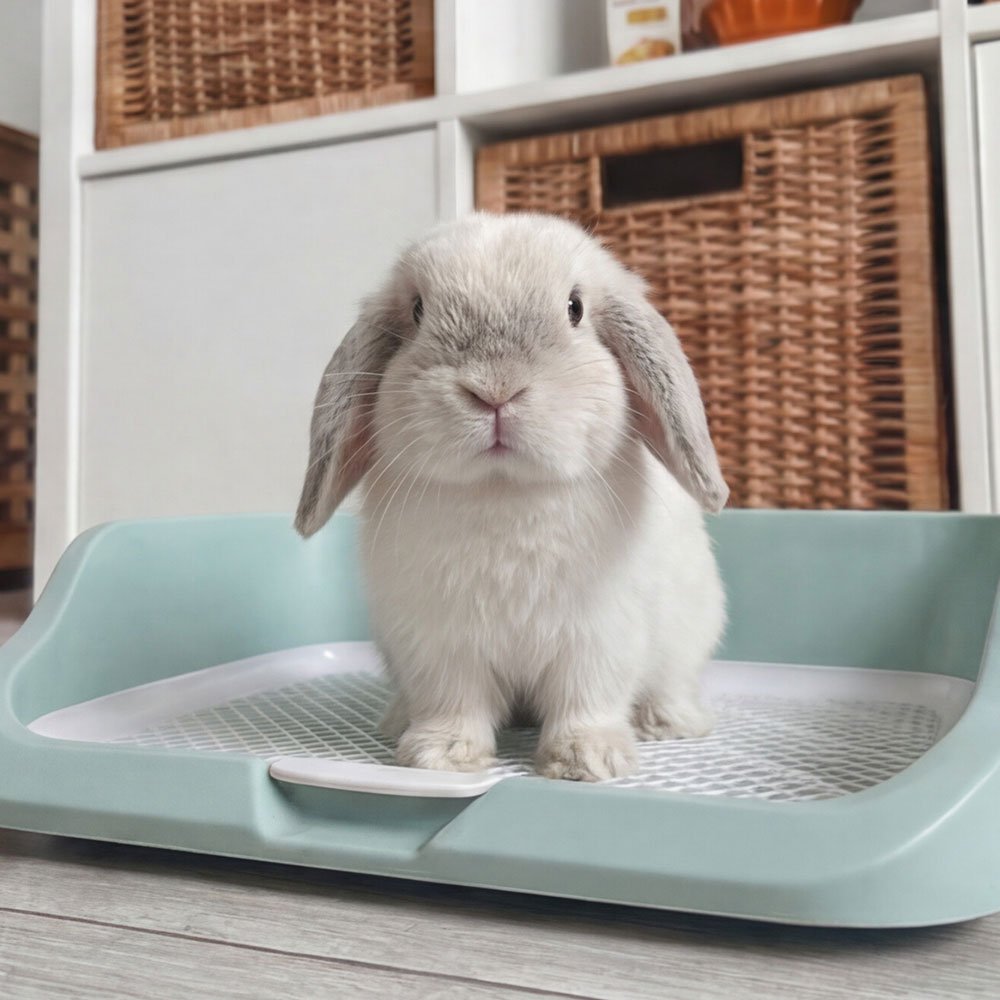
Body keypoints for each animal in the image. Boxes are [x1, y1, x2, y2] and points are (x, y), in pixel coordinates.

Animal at [295, 212, 727, 782]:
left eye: (575, 308)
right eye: (417, 310)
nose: (494, 391)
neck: (503, 489)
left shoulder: (597, 638)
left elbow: (587, 699)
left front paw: (586, 760)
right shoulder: (440, 646)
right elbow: (454, 702)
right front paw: (440, 756)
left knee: (668, 684)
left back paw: (670, 722)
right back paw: (397, 721)